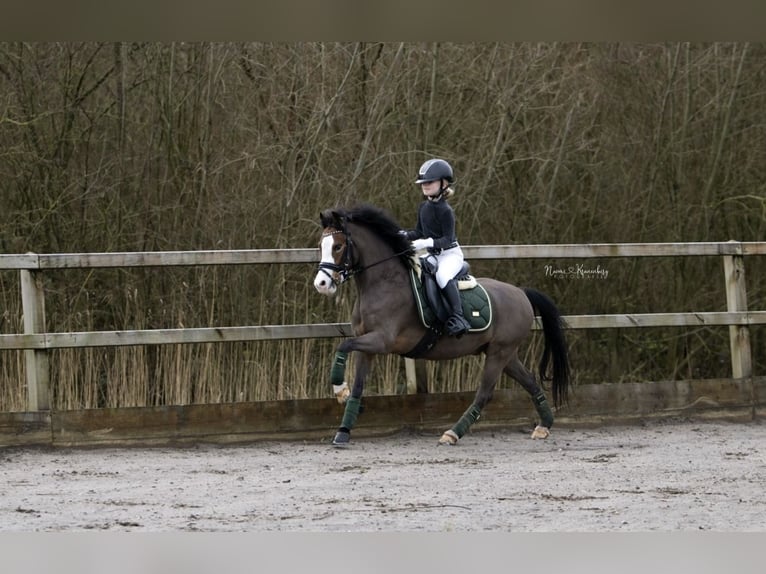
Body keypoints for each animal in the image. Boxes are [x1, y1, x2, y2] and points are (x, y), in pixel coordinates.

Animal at [313, 204, 570, 446]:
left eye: (338, 246)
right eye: (321, 245)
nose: (321, 284)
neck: (383, 282)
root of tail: (521, 293)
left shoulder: (381, 341)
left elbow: (343, 346)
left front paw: (340, 391)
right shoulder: (367, 345)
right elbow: (358, 384)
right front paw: (343, 429)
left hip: (499, 353)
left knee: (484, 394)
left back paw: (452, 433)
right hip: (505, 354)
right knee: (531, 382)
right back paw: (543, 426)